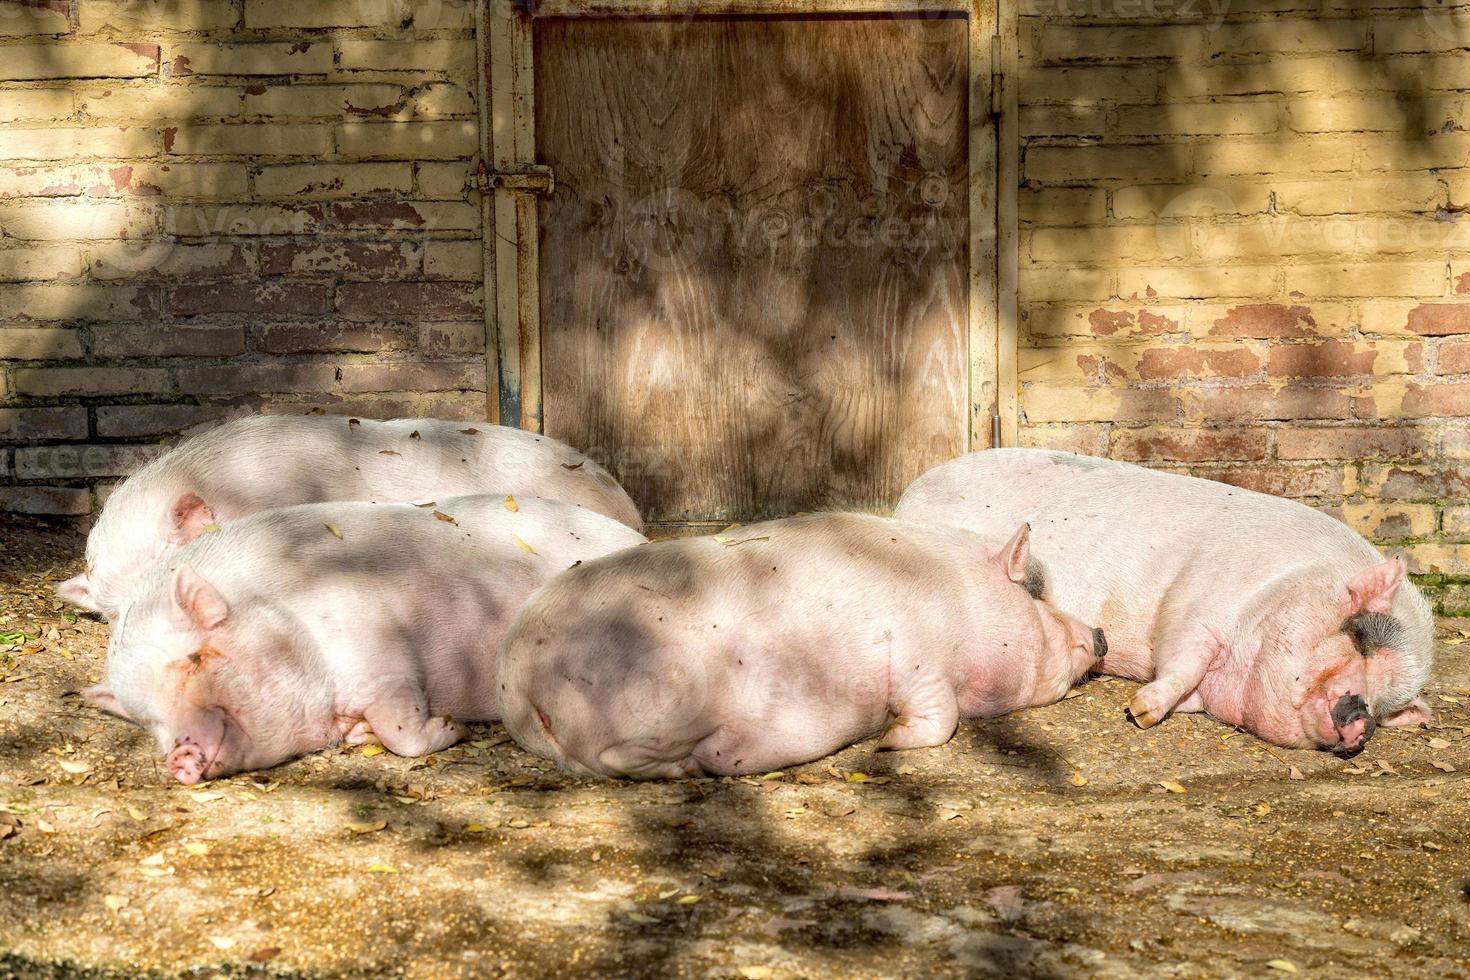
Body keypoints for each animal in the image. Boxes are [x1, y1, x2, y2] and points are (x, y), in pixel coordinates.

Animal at [85, 493, 646, 787]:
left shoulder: (386, 656)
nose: (177, 755)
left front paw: (452, 728)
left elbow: (402, 731)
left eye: (194, 658)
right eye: (145, 719)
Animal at [496, 514, 1105, 781]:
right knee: (617, 759)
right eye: (1032, 592)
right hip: (661, 698)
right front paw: (885, 744)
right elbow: (940, 716)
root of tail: (521, 681)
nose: (1098, 636)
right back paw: (693, 769)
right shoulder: (918, 660)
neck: (959, 600)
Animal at [893, 449, 1434, 758]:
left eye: (1388, 706)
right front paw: (1140, 713)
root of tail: (911, 491)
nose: (1364, 721)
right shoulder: (1198, 605)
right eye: (1359, 637)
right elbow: (1180, 659)